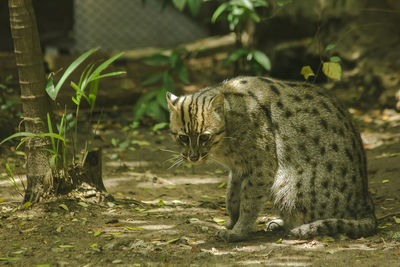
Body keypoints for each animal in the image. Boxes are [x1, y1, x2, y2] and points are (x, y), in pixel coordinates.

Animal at [165, 76, 376, 243]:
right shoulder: (238, 170)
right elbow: (231, 198)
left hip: (286, 184)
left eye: (204, 137)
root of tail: (367, 205)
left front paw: (238, 232)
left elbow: (248, 203)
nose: (193, 157)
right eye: (183, 137)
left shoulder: (261, 168)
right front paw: (232, 223)